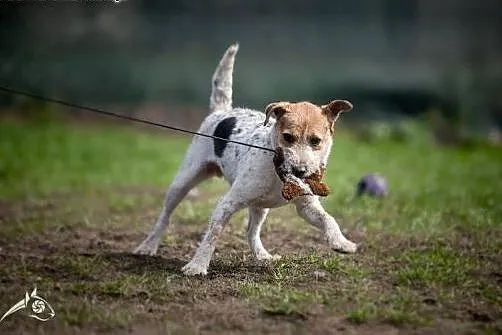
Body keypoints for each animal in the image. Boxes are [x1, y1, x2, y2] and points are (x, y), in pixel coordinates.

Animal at [133, 44, 356, 276]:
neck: (276, 169)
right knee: (165, 216)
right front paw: (197, 265)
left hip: (259, 206)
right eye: (288, 137)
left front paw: (342, 243)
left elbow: (328, 219)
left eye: (316, 141)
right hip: (183, 182)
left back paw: (262, 255)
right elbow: (213, 233)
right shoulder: (228, 203)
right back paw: (148, 246)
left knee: (251, 230)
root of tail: (222, 111)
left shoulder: (306, 206)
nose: (300, 171)